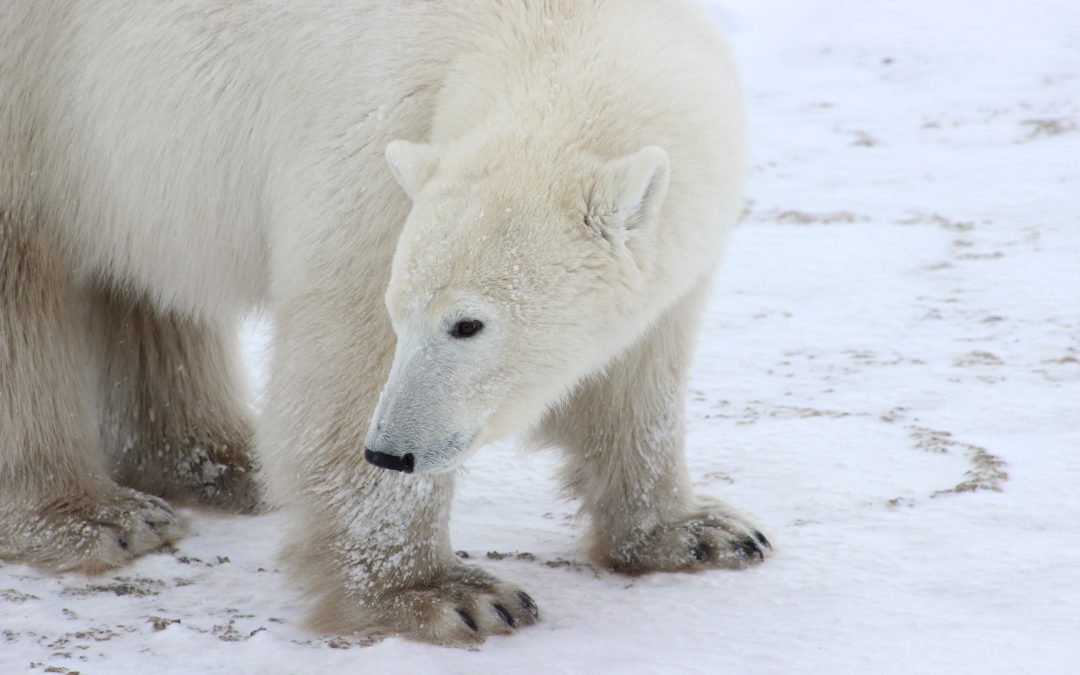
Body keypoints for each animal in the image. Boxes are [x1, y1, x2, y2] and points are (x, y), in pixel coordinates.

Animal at [0, 0, 768, 643]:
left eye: (468, 325)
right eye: (407, 317)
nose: (392, 451)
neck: (544, 24)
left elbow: (641, 372)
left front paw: (700, 532)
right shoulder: (377, 142)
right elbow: (348, 352)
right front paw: (447, 594)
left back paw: (222, 464)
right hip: (36, 92)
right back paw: (96, 516)